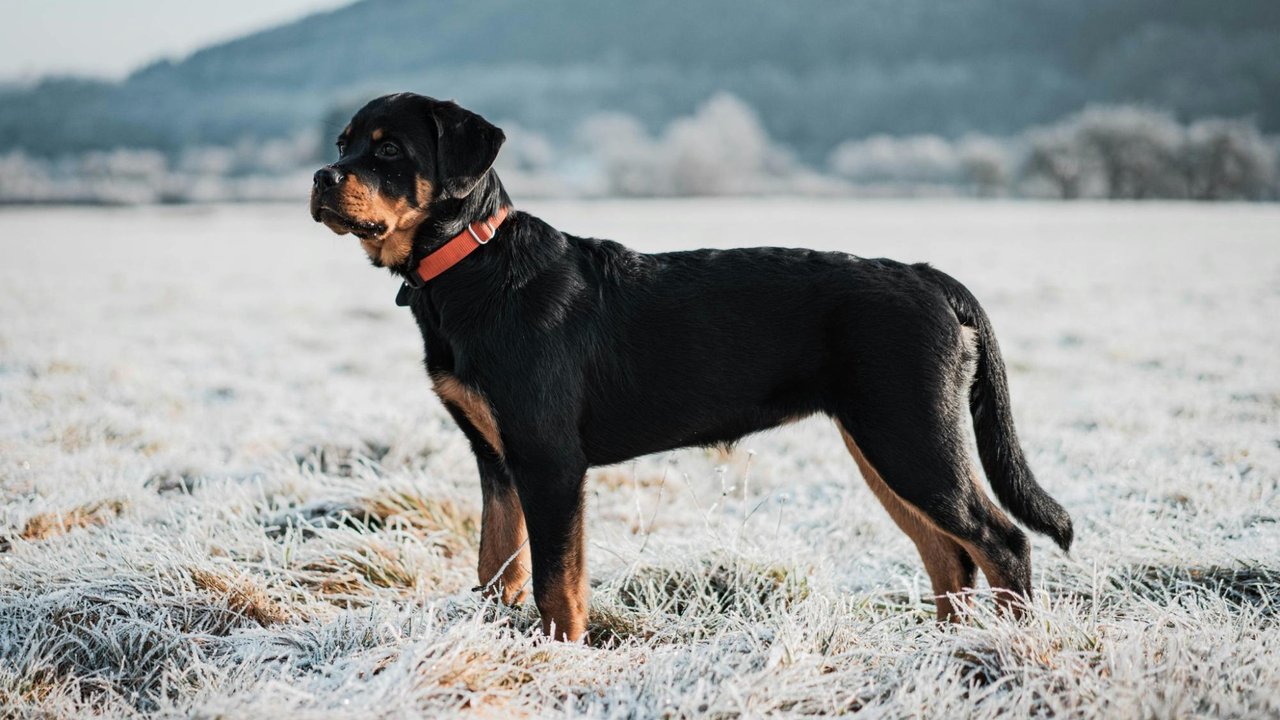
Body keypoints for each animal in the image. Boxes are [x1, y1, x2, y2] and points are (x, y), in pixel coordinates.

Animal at [309, 92, 1070, 635]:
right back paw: (950, 651)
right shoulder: (496, 459)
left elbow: (558, 584)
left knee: (1001, 542)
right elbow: (499, 565)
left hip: (911, 437)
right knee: (950, 557)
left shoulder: (549, 458)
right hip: (885, 445)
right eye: (344, 143)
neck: (470, 265)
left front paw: (561, 656)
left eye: (389, 150)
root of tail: (928, 276)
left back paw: (1010, 649)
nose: (320, 175)